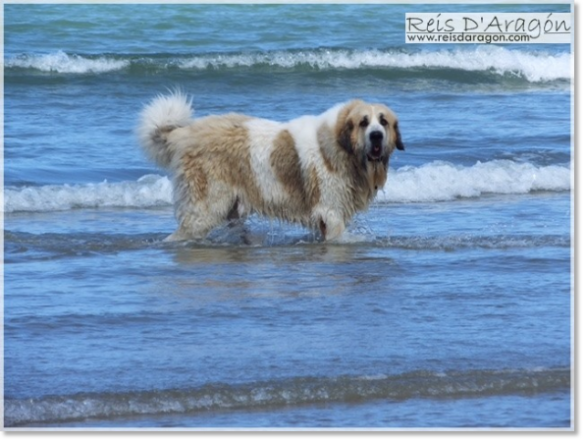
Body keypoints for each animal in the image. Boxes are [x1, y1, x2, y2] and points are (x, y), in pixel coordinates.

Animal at [137, 92, 402, 242]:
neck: (341, 148)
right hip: (204, 210)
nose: (376, 136)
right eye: (363, 123)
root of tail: (183, 134)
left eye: (383, 122)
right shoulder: (331, 213)